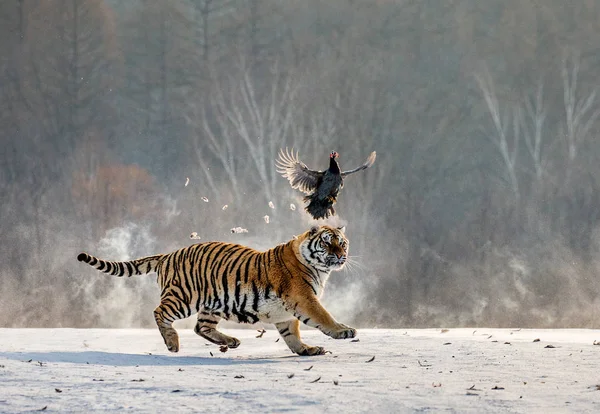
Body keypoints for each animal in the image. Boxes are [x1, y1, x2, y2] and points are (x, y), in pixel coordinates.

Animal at [75, 225, 356, 354]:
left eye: (342, 243)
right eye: (327, 243)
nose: (340, 255)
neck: (319, 269)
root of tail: (168, 255)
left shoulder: (286, 313)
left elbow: (292, 335)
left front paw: (306, 350)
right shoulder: (305, 299)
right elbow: (324, 317)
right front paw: (344, 331)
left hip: (213, 304)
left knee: (201, 328)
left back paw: (230, 341)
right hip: (183, 297)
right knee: (159, 312)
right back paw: (172, 343)